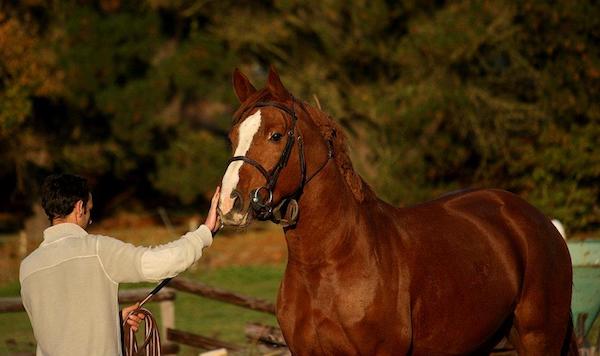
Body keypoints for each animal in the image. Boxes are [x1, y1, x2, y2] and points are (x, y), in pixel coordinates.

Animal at [217, 67, 576, 356]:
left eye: (276, 136)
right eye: (233, 136)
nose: (230, 204)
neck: (330, 261)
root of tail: (537, 221)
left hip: (538, 338)